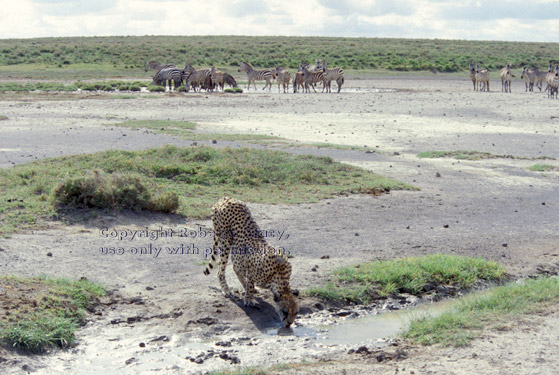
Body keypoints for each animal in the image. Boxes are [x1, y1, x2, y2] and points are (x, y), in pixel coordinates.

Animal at [205, 198, 300, 328]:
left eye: (296, 313)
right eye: (285, 312)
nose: (289, 324)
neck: (279, 277)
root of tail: (225, 198)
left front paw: (250, 293)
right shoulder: (251, 268)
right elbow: (249, 284)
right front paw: (249, 300)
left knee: (235, 267)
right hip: (225, 240)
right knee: (221, 269)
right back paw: (227, 290)